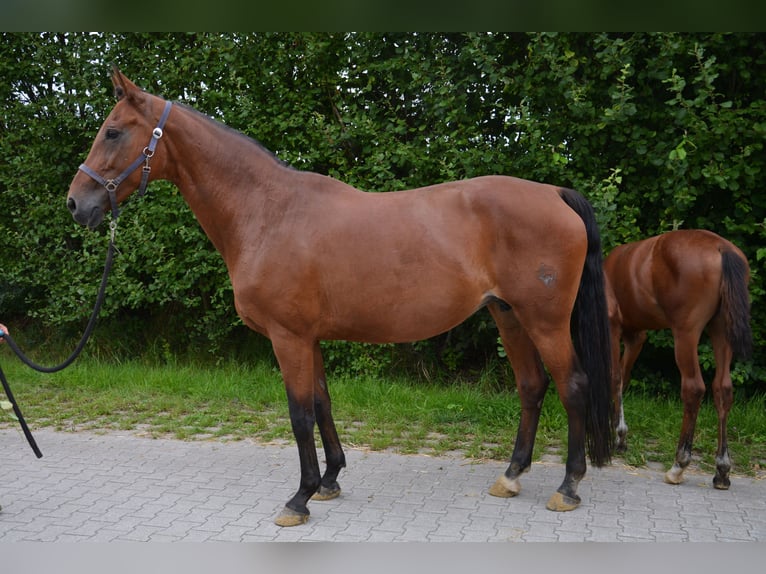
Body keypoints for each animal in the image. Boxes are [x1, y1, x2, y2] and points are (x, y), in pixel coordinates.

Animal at [67, 67, 616, 528]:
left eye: (113, 131)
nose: (76, 204)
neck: (268, 212)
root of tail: (554, 193)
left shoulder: (288, 338)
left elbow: (299, 414)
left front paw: (300, 498)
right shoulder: (308, 337)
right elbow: (322, 402)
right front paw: (329, 481)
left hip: (544, 321)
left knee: (573, 386)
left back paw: (568, 486)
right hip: (509, 316)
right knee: (531, 386)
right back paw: (511, 475)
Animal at [608, 230, 752, 490]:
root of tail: (721, 248)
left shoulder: (613, 327)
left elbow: (615, 378)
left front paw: (618, 434)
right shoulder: (636, 337)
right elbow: (623, 377)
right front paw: (619, 435)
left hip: (686, 333)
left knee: (693, 389)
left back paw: (678, 465)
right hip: (721, 329)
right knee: (723, 389)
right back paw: (722, 470)